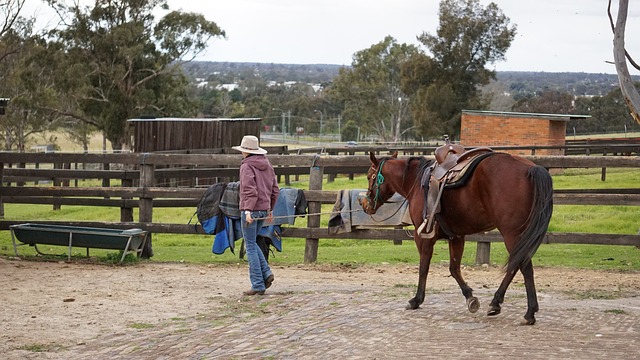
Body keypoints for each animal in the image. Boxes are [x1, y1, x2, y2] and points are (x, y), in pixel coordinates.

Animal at [362, 150, 552, 324]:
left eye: (369, 176)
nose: (365, 204)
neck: (416, 182)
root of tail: (531, 169)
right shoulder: (456, 237)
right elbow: (454, 269)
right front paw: (470, 298)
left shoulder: (423, 237)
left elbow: (423, 267)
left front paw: (416, 300)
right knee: (520, 265)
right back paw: (503, 305)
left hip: (512, 234)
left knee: (521, 266)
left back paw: (524, 312)